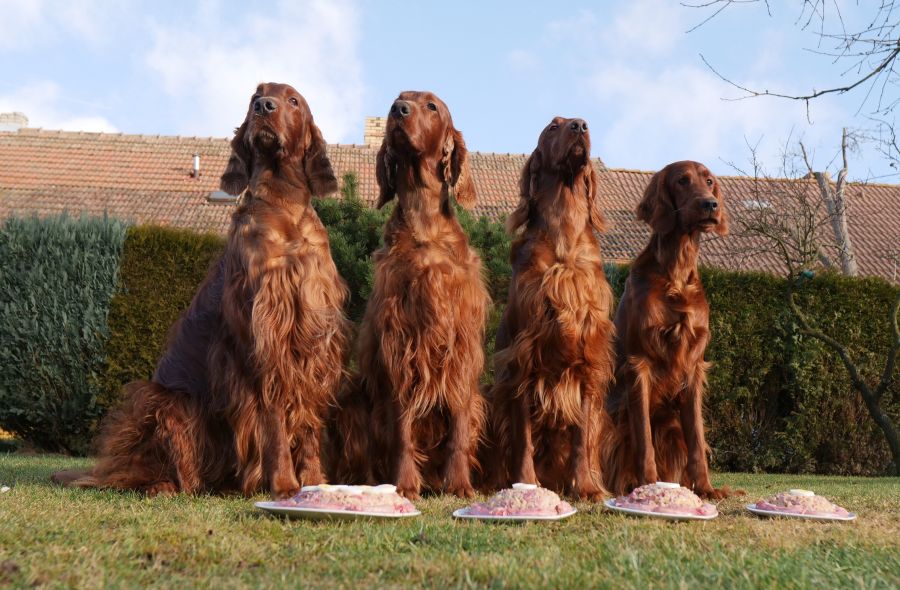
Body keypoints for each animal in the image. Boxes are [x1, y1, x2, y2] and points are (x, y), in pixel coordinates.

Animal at [51, 83, 348, 500]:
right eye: (255, 96)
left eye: (293, 101)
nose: (264, 106)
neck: (284, 207)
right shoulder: (267, 337)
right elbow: (275, 416)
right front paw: (285, 485)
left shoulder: (313, 339)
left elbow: (307, 421)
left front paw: (317, 480)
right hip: (167, 403)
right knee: (144, 473)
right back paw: (164, 485)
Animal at [328, 91, 486, 500]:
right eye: (400, 99)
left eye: (431, 106)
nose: (398, 111)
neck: (424, 226)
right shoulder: (400, 345)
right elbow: (402, 430)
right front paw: (402, 484)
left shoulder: (460, 352)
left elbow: (458, 429)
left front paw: (459, 484)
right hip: (353, 400)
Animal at [486, 118, 620, 502]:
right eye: (552, 127)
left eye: (579, 123)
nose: (579, 126)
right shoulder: (522, 362)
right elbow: (524, 438)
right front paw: (526, 484)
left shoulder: (589, 363)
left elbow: (580, 436)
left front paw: (586, 487)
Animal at [596, 161, 732, 500]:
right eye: (682, 181)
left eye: (709, 181)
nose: (710, 204)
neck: (676, 274)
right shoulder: (639, 363)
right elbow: (644, 438)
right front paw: (649, 484)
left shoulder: (694, 367)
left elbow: (697, 439)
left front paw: (706, 489)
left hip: (672, 426)